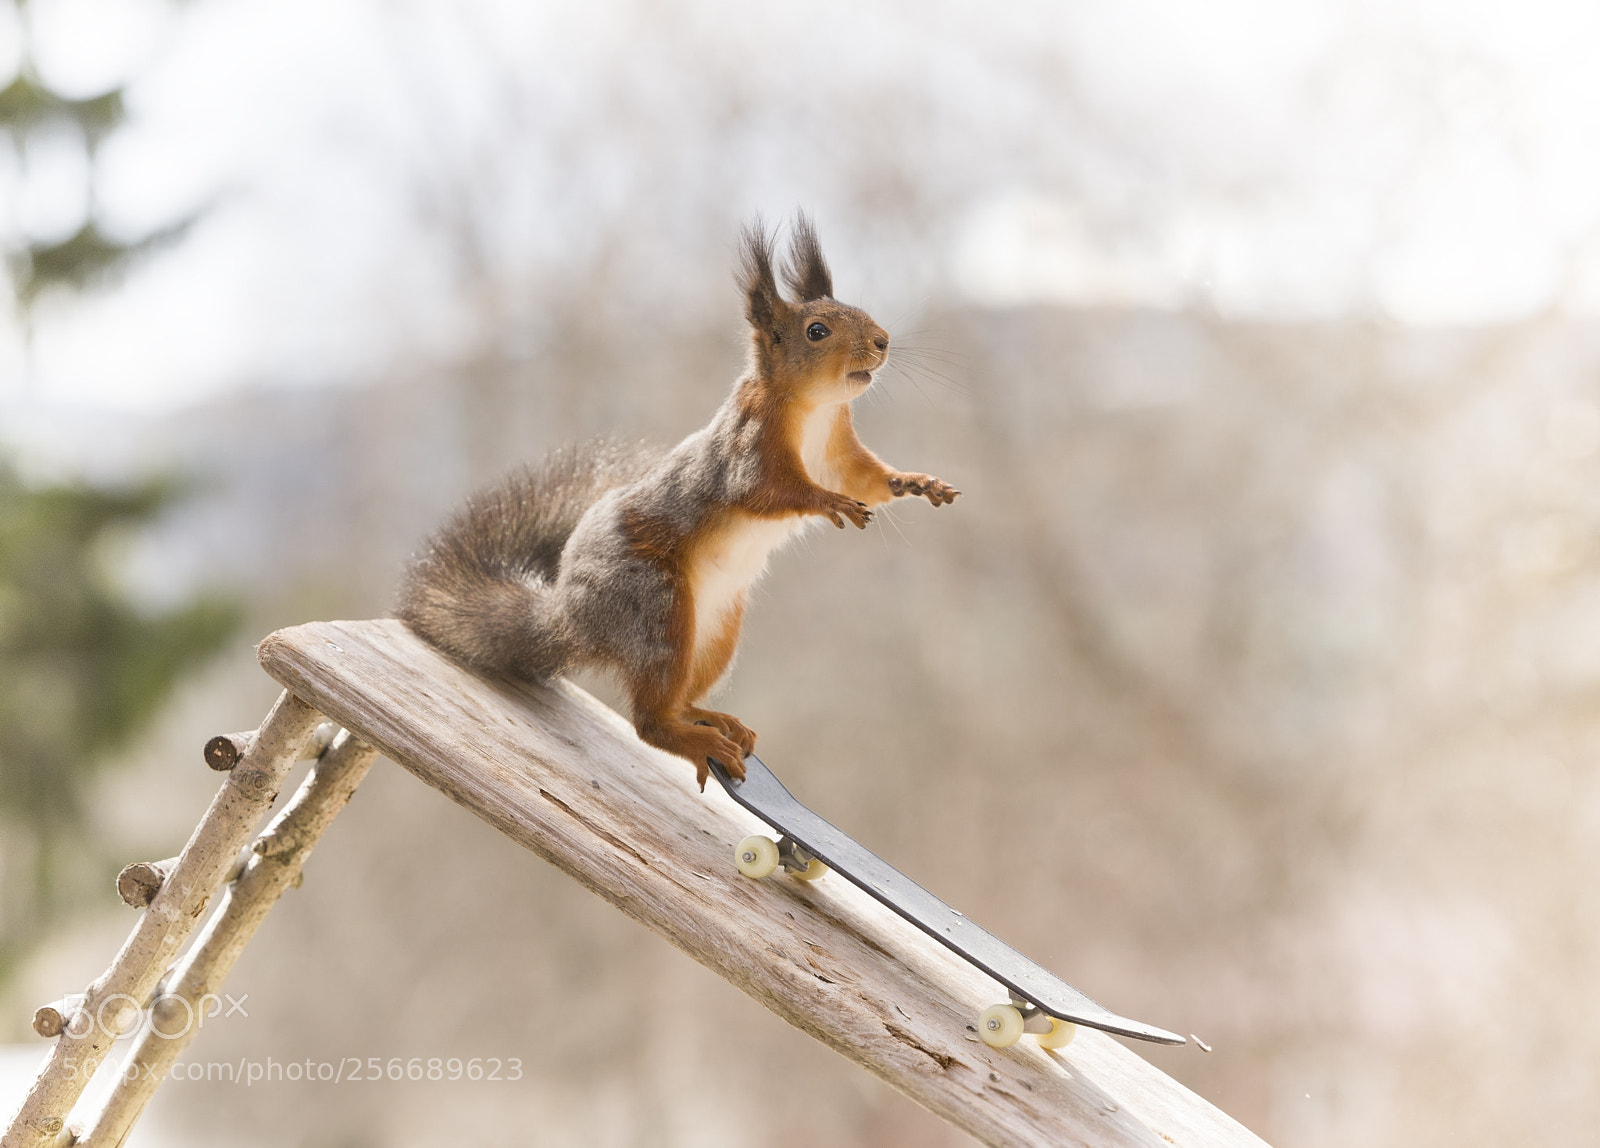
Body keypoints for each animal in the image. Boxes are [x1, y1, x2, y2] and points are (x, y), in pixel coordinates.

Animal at [396, 213, 959, 790]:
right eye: (817, 331)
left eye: (860, 311)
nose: (882, 341)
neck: (815, 409)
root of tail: (569, 615)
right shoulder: (748, 452)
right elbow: (770, 491)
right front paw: (829, 503)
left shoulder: (839, 452)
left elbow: (869, 479)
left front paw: (917, 483)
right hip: (655, 609)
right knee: (649, 722)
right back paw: (695, 739)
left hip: (715, 630)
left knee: (679, 699)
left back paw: (712, 719)